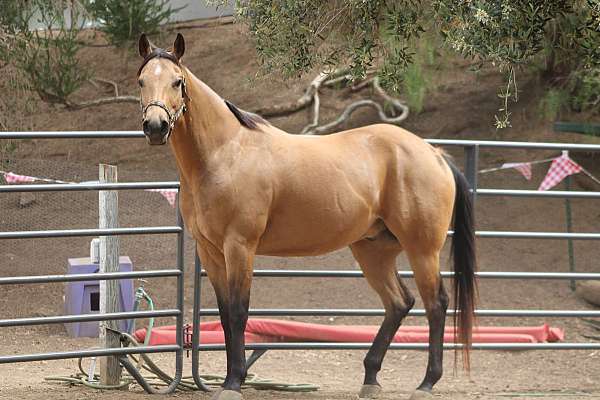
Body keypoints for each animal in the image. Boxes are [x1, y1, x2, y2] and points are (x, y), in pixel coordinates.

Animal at [137, 34, 478, 400]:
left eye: (177, 81)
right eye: (141, 81)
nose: (155, 127)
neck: (224, 153)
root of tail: (434, 153)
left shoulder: (240, 246)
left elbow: (239, 313)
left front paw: (233, 382)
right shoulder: (210, 252)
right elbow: (226, 315)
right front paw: (231, 378)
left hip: (422, 249)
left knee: (436, 304)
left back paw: (427, 382)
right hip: (373, 250)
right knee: (400, 302)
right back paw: (371, 377)